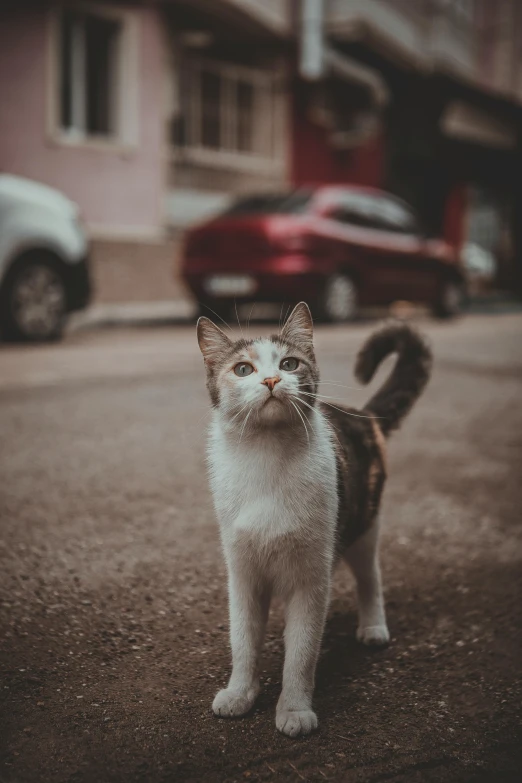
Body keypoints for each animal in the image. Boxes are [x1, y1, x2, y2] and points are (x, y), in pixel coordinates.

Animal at [196, 304, 430, 740]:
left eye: (289, 364)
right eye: (243, 369)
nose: (271, 380)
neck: (267, 458)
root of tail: (362, 413)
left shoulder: (311, 578)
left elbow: (301, 654)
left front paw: (293, 710)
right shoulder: (243, 572)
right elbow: (243, 641)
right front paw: (240, 693)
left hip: (364, 524)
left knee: (370, 576)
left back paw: (373, 626)